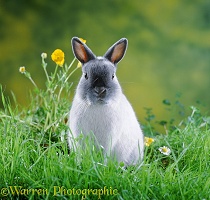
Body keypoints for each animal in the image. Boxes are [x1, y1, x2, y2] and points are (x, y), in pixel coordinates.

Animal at [67, 36, 144, 166]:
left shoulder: (108, 139)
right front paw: (80, 163)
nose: (100, 90)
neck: (98, 106)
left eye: (113, 76)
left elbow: (104, 154)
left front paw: (101, 165)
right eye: (86, 75)